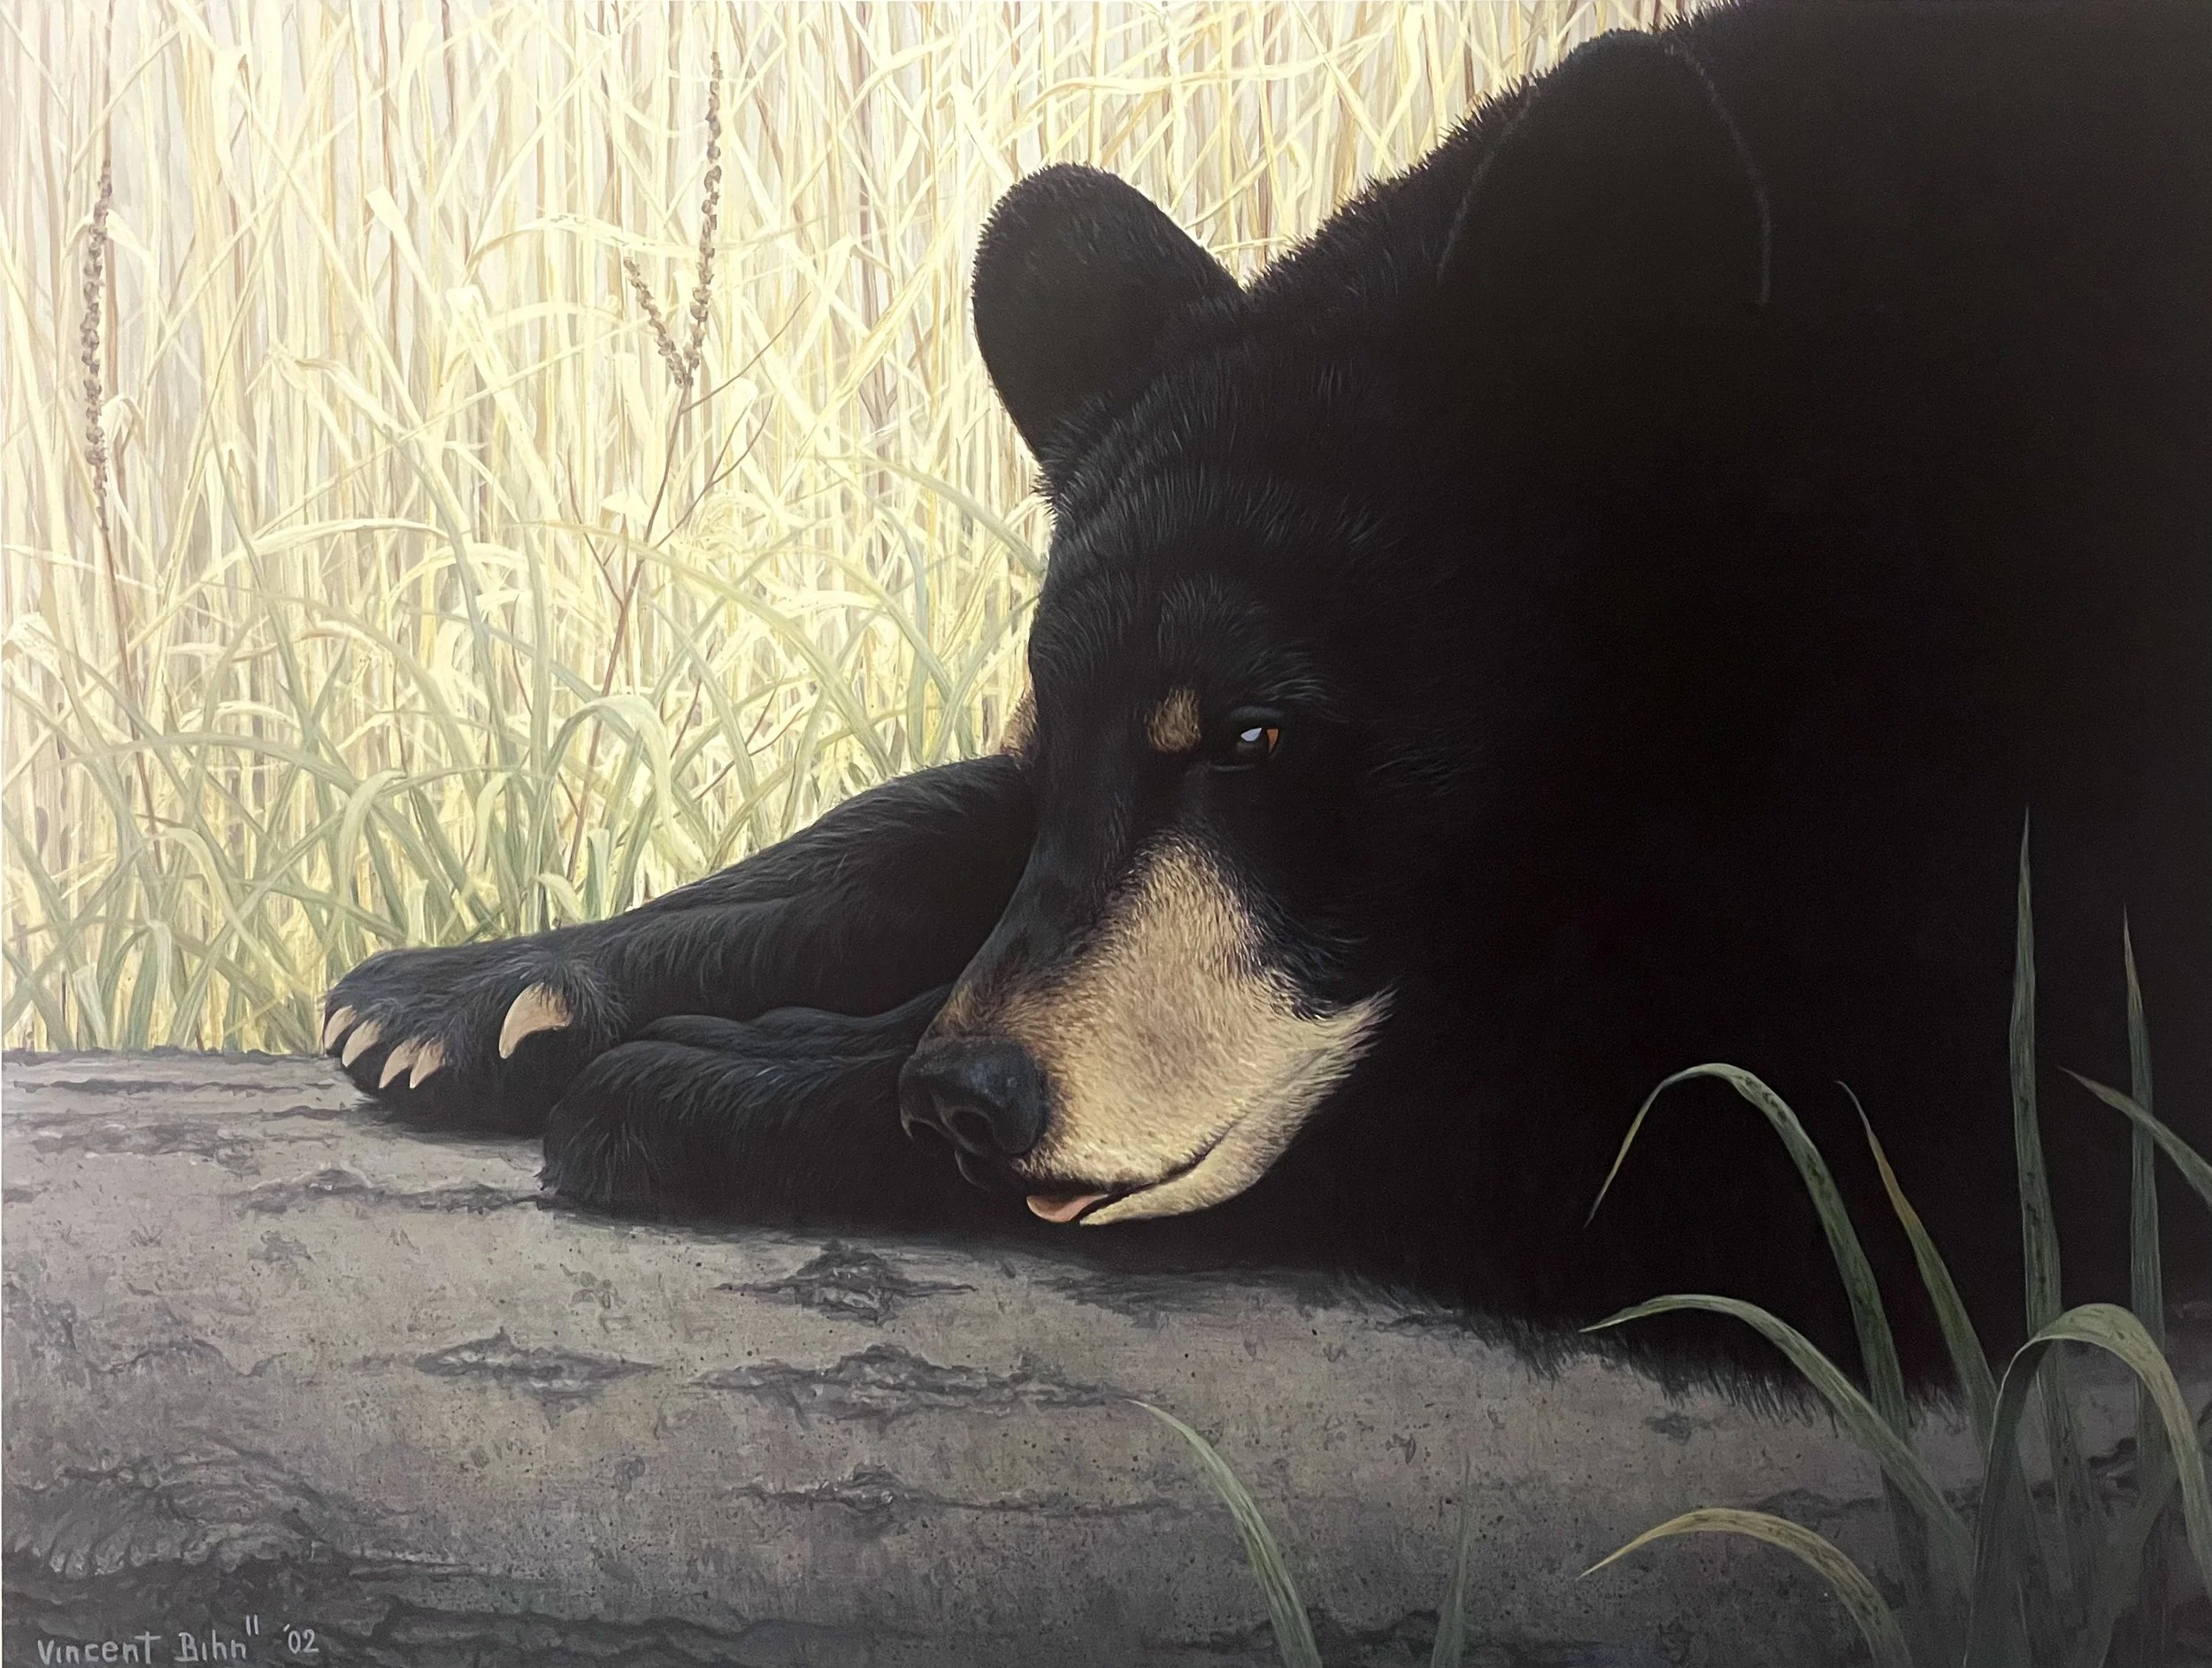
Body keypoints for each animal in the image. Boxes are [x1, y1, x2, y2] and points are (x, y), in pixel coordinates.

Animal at [322, 0, 2212, 1392]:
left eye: (1263, 734)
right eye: (1052, 729)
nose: (971, 1098)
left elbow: (1753, 1133)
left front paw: (722, 1079)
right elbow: (938, 824)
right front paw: (471, 995)